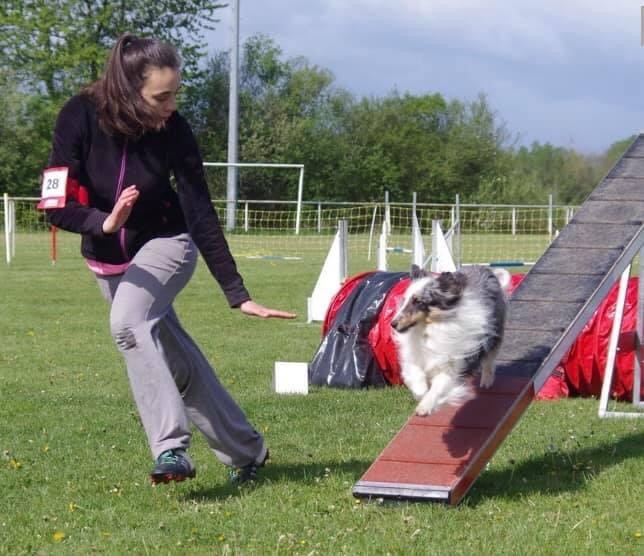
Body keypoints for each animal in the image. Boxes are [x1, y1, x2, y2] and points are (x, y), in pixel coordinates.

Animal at [390, 266, 510, 416]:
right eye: (405, 300)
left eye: (418, 301)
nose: (393, 324)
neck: (427, 331)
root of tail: (486, 270)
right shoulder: (413, 358)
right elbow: (417, 379)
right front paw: (422, 394)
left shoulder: (451, 365)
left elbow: (437, 388)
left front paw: (425, 407)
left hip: (494, 334)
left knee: (489, 359)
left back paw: (486, 382)